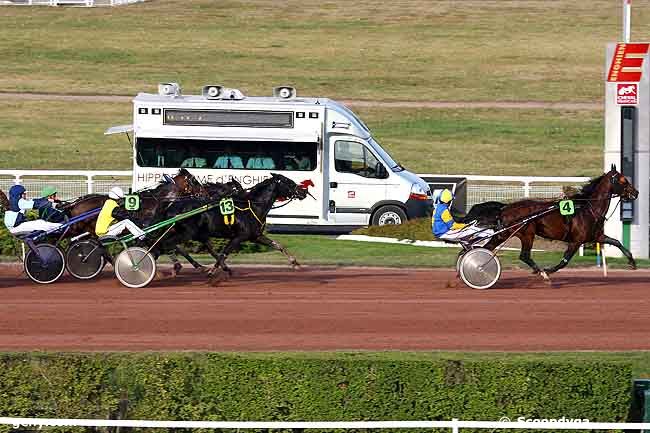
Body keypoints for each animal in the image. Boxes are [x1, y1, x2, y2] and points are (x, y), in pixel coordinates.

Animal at [147, 172, 308, 284]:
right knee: (164, 245)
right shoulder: (239, 237)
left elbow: (278, 245)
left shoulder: (255, 236)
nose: (303, 192)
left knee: (159, 244)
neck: (252, 208)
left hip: (178, 231)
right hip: (186, 233)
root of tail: (171, 206)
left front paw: (295, 263)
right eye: (288, 182)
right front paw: (212, 273)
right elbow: (223, 253)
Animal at [466, 164, 636, 282]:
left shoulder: (596, 237)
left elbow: (617, 242)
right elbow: (564, 261)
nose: (636, 192)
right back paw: (539, 272)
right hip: (527, 234)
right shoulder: (576, 241)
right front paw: (547, 272)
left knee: (486, 248)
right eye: (623, 180)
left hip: (503, 234)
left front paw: (632, 262)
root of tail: (505, 208)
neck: (587, 208)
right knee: (524, 255)